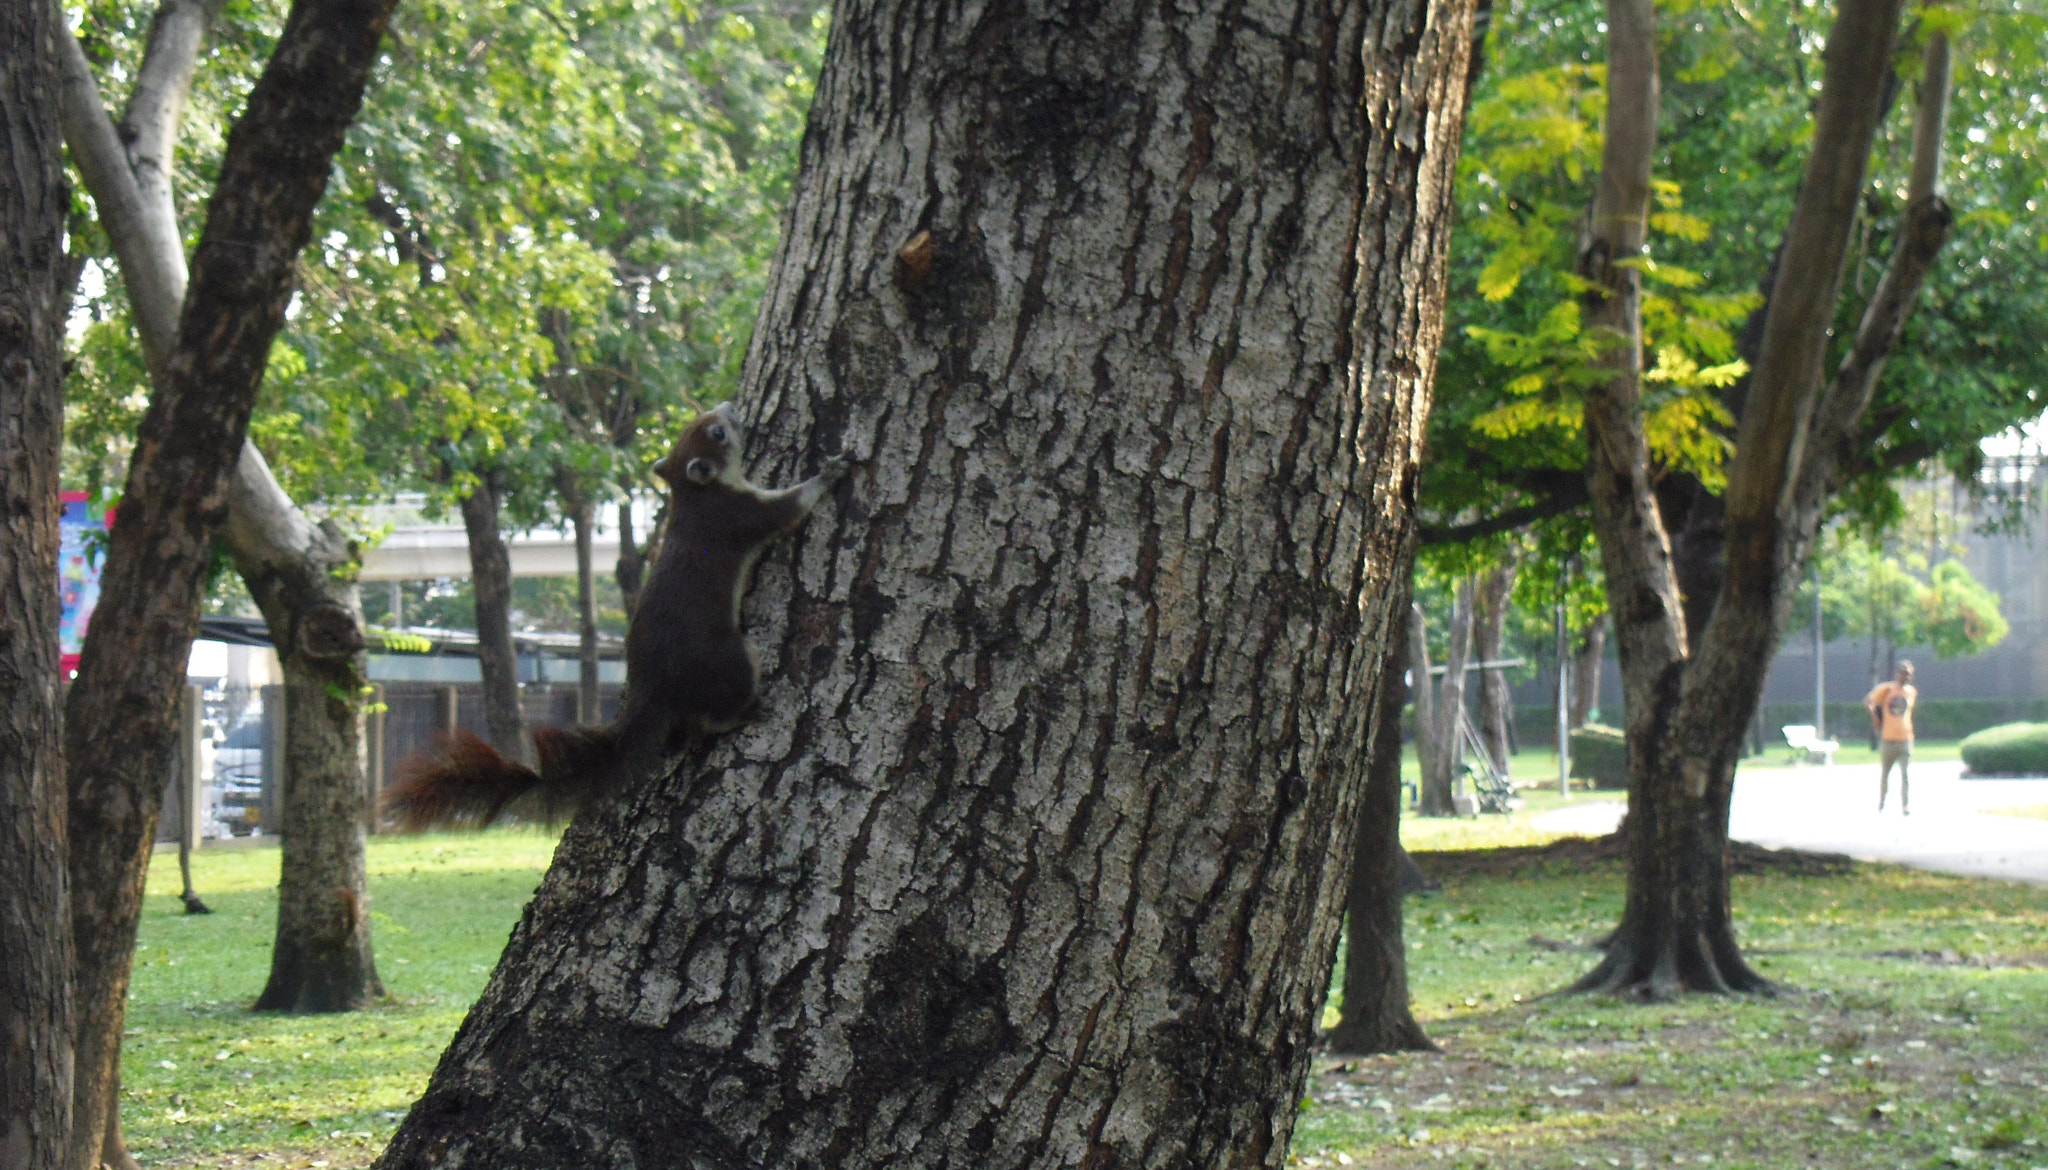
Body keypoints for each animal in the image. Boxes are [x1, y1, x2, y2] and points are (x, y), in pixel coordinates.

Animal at [381, 402, 850, 830]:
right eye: (716, 433)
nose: (731, 408)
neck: (694, 494)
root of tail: (651, 687)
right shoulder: (740, 515)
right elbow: (790, 508)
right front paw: (830, 473)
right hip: (729, 657)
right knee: (712, 715)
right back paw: (744, 714)